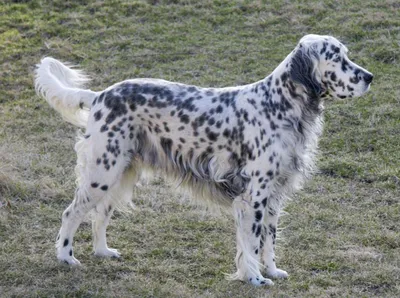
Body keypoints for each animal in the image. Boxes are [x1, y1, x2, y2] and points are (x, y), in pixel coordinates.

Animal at [34, 35, 372, 286]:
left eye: (346, 54)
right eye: (337, 57)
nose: (370, 77)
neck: (278, 105)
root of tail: (99, 95)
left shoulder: (274, 195)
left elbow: (269, 240)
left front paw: (272, 271)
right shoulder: (253, 196)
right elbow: (252, 242)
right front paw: (255, 279)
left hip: (120, 173)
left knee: (100, 215)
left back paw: (103, 251)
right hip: (102, 172)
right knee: (71, 213)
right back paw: (66, 257)